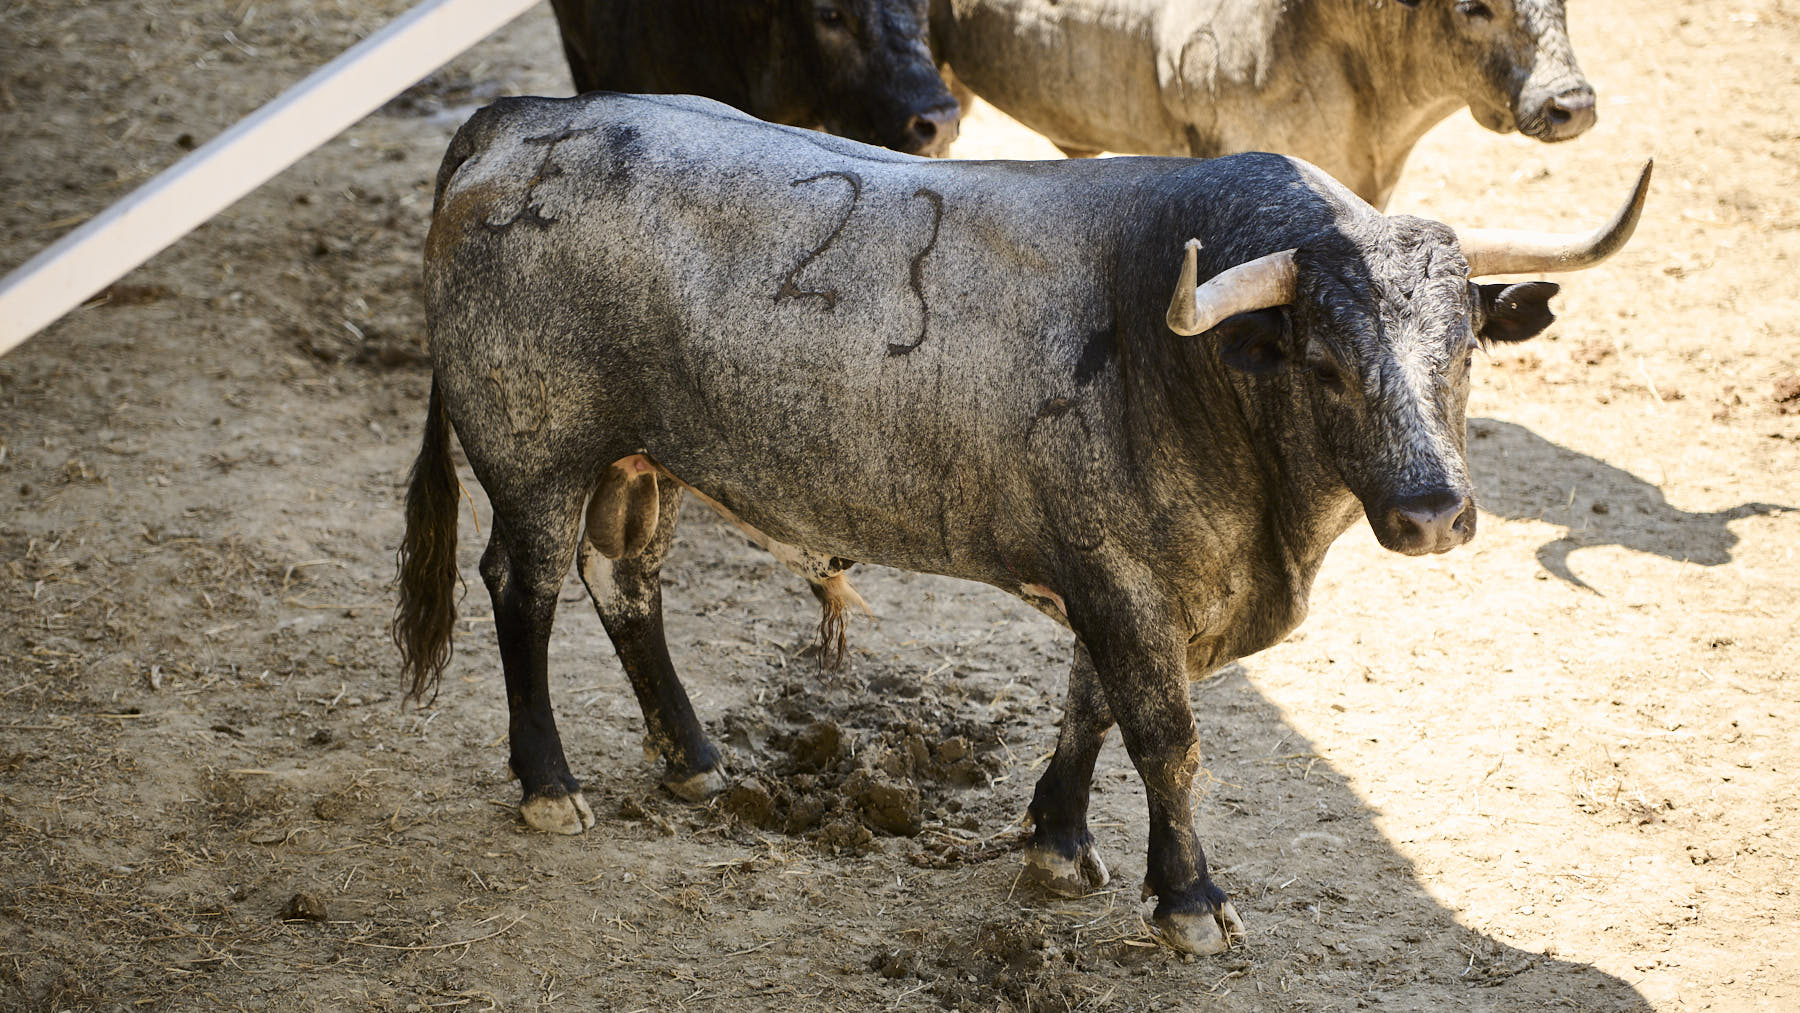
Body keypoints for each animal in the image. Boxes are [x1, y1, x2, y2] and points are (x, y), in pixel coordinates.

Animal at [394, 91, 1648, 957]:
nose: (1434, 512)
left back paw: (696, 760)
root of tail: (523, 121)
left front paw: (1056, 842)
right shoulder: (1128, 580)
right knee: (523, 588)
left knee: (627, 581)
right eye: (1328, 364)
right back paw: (550, 784)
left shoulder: (1110, 577)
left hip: (638, 461)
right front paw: (1190, 900)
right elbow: (1165, 735)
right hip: (536, 453)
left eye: (1467, 347)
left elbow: (1088, 704)